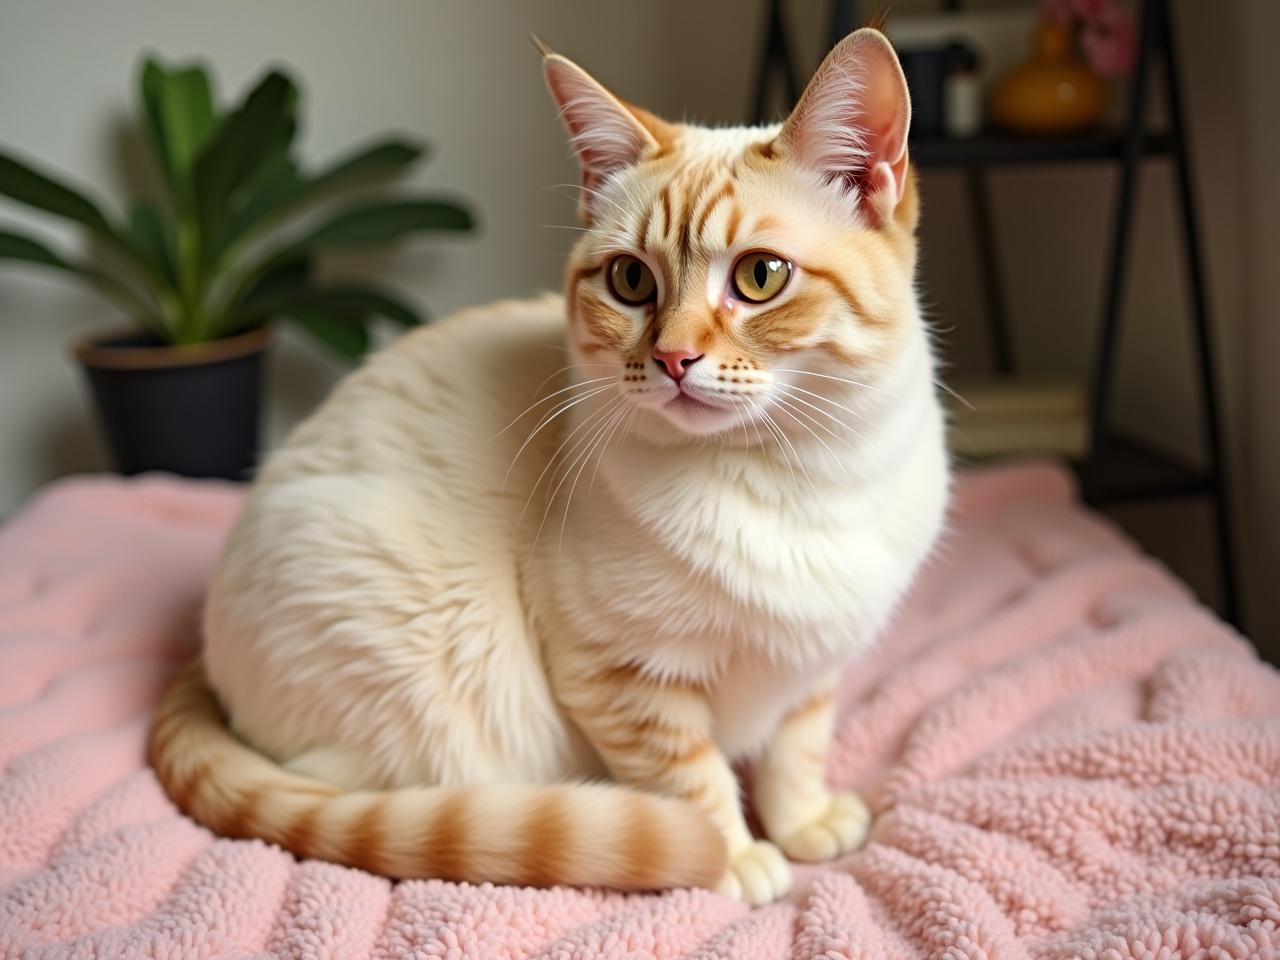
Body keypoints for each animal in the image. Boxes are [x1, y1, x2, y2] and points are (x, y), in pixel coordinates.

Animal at [149, 26, 952, 906]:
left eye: (760, 276)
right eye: (631, 281)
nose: (673, 359)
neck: (795, 478)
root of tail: (203, 652)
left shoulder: (812, 667)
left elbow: (794, 752)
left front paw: (804, 824)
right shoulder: (621, 680)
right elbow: (693, 782)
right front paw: (736, 859)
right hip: (428, 702)